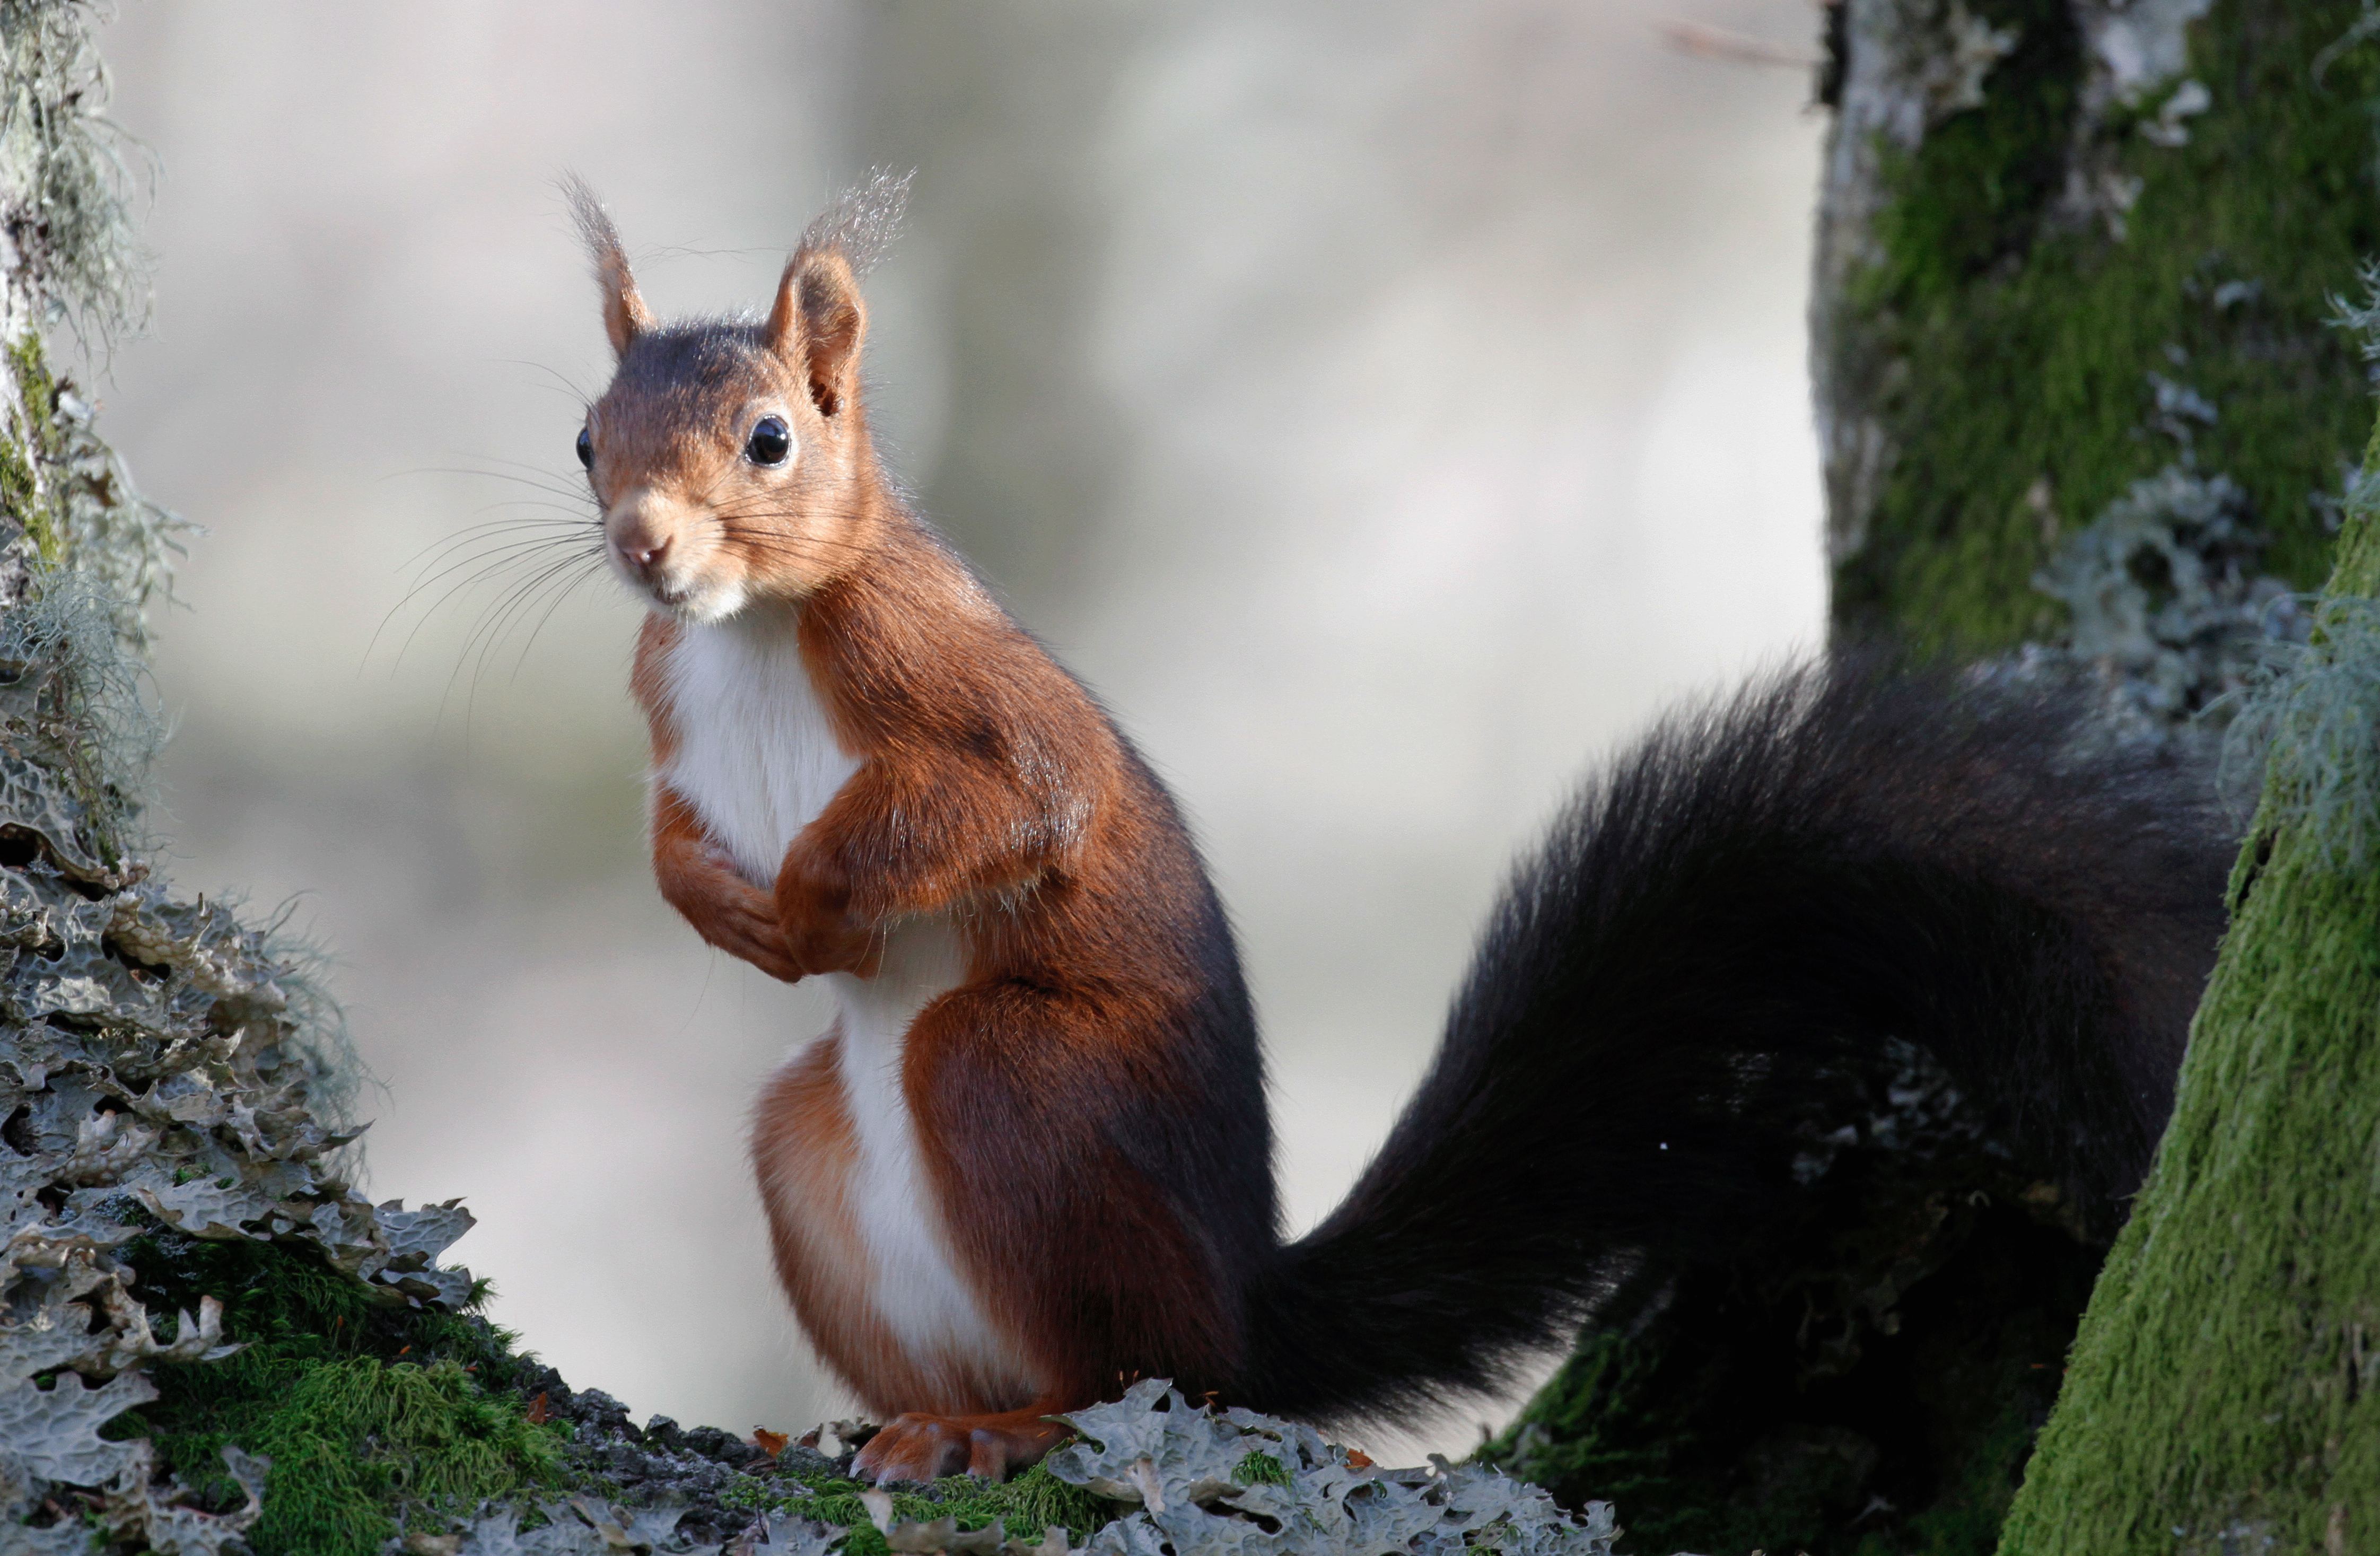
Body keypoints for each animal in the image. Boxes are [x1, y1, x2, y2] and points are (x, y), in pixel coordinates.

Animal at [566, 179, 2237, 1484]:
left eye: (770, 439)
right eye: (586, 438)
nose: (645, 546)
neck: (750, 630)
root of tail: (1250, 1309)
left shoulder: (946, 678)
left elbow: (1023, 793)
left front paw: (808, 903)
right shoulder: (667, 703)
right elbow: (664, 834)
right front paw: (720, 905)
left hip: (1019, 1084)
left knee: (1137, 1372)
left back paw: (1012, 1426)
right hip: (809, 1142)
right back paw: (894, 1419)